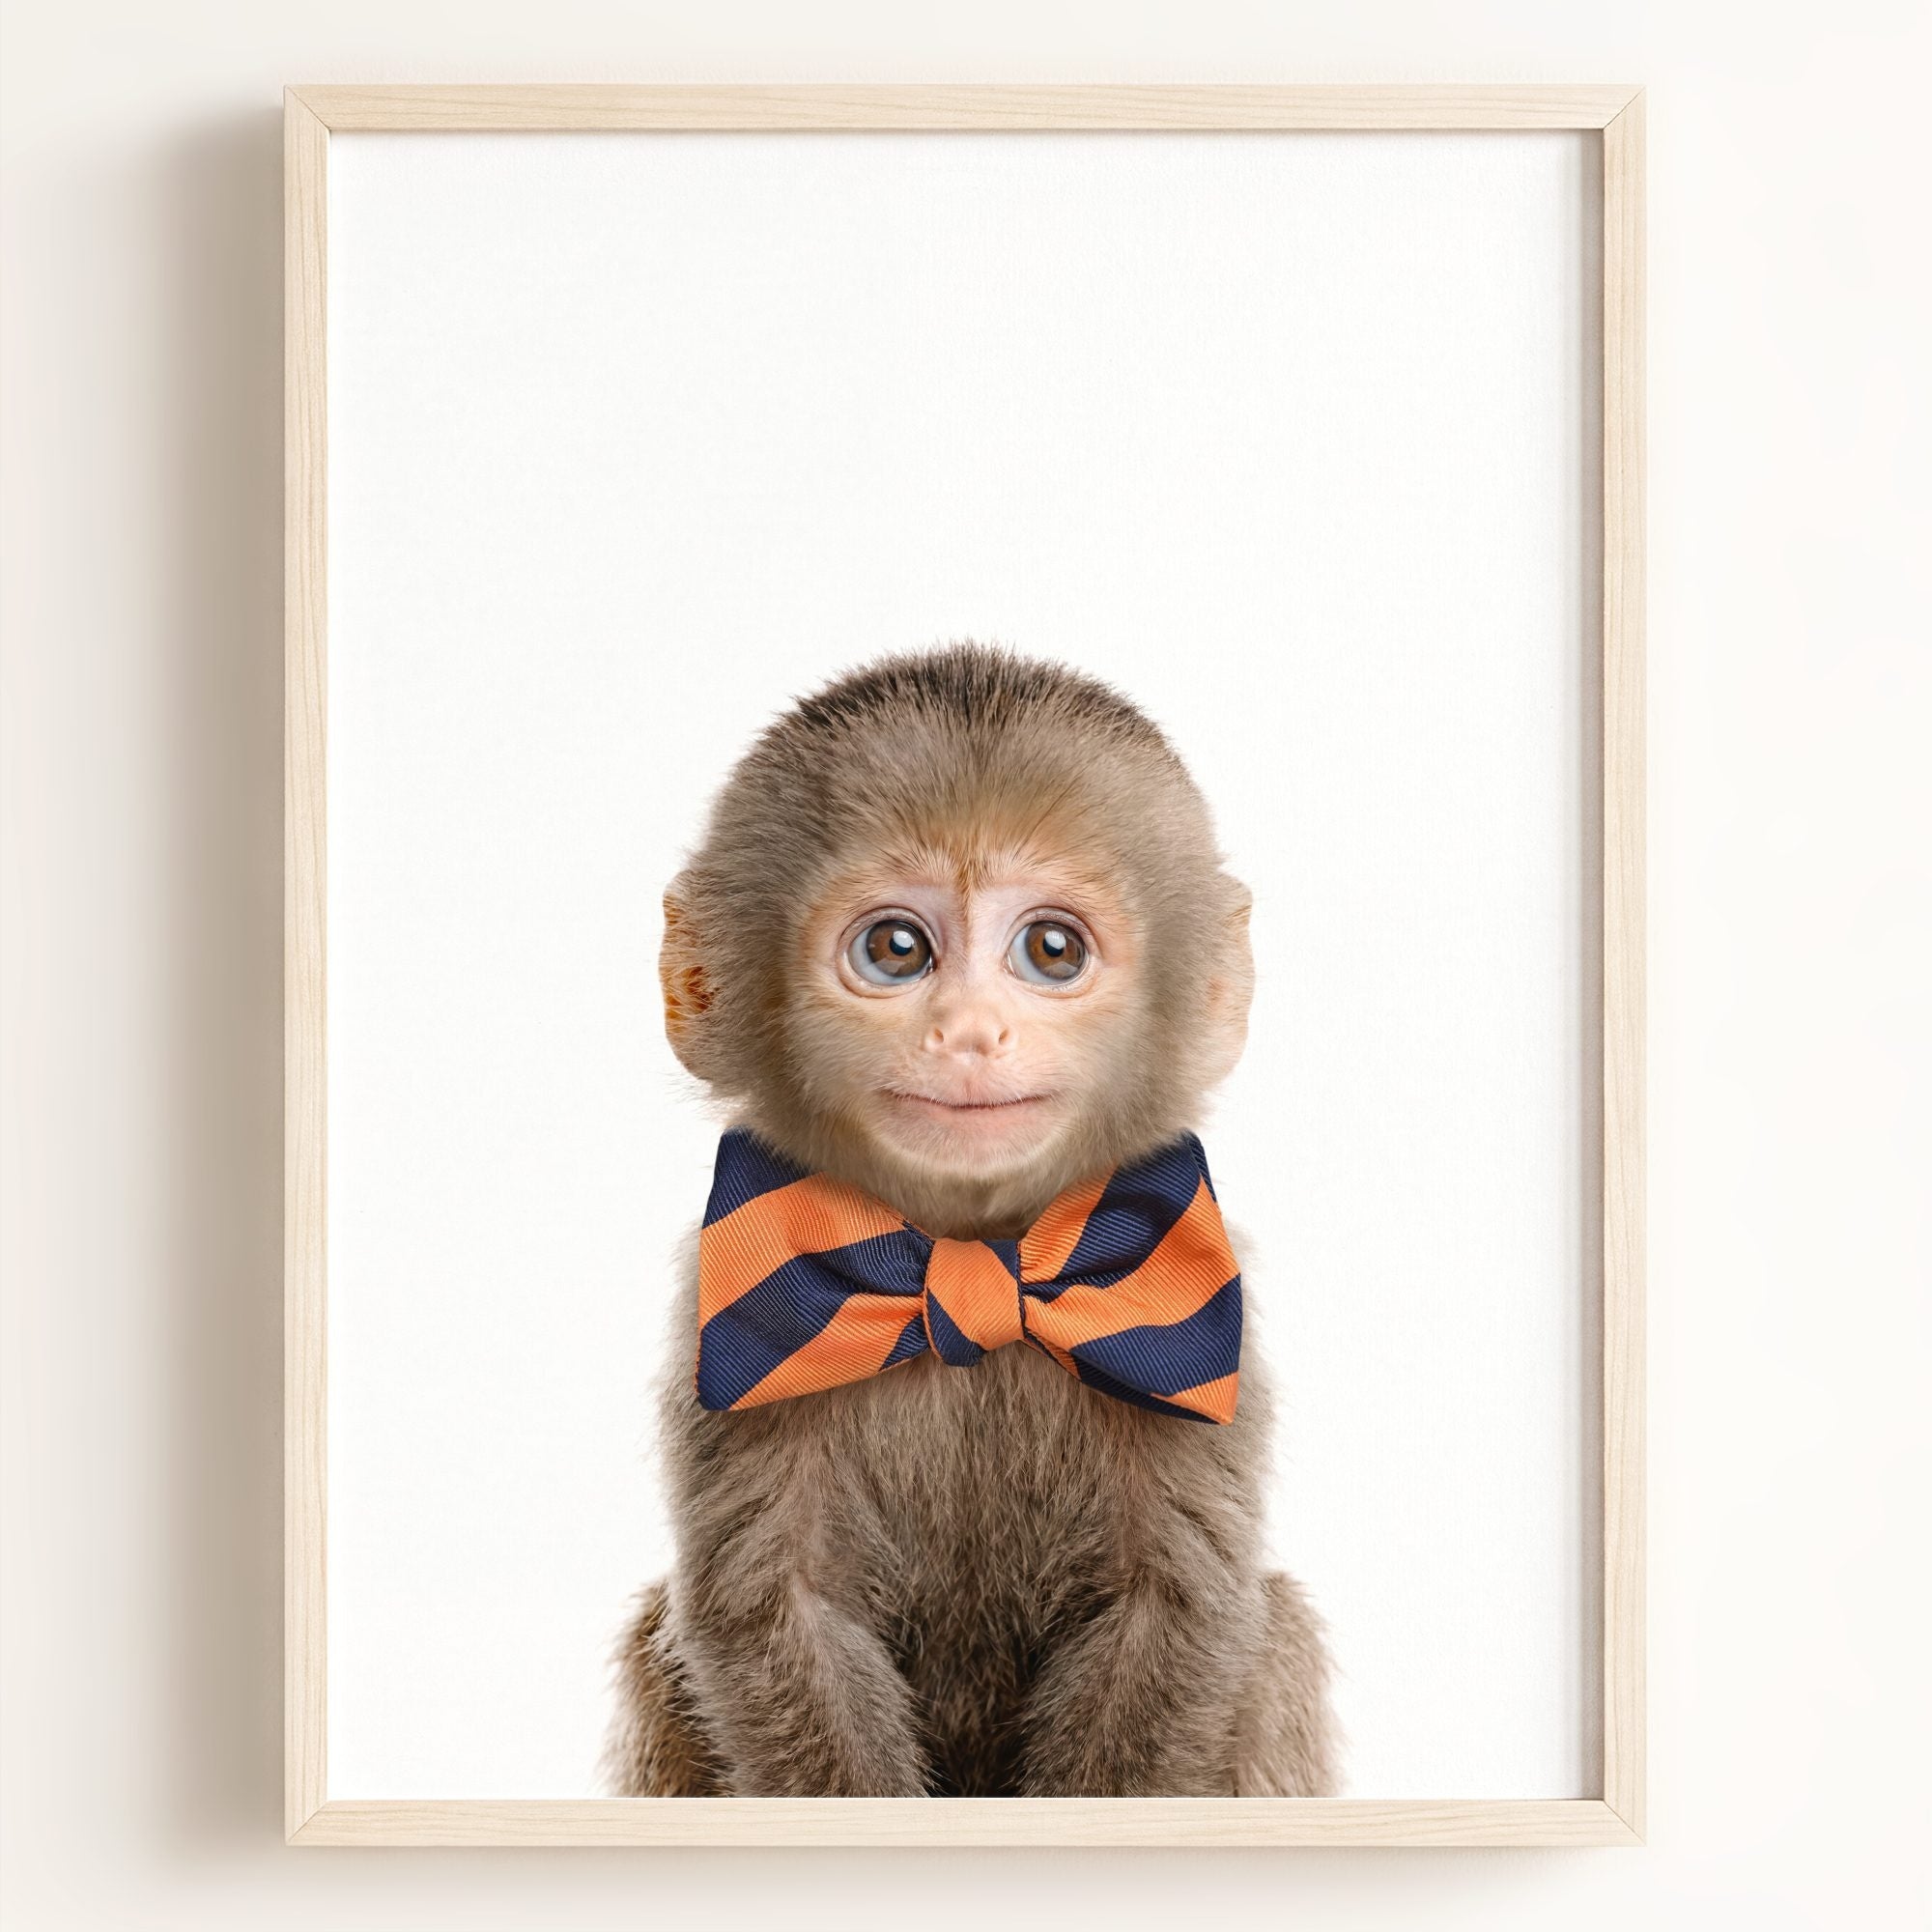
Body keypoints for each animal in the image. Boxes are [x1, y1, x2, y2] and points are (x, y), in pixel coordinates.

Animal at [603, 643, 1337, 1798]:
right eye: (897, 948)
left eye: (1052, 950)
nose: (970, 1032)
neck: (964, 1248)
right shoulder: (723, 1317)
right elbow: (778, 1612)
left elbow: (1174, 1610)